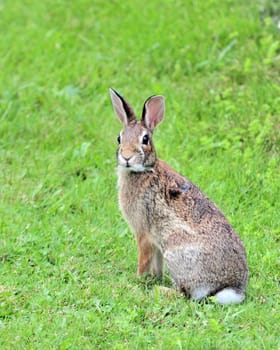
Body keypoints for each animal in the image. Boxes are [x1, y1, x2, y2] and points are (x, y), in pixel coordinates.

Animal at [108, 89, 248, 304]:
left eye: (145, 139)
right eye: (119, 138)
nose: (126, 157)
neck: (144, 171)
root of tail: (229, 288)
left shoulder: (143, 233)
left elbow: (143, 259)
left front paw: (137, 280)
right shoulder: (155, 242)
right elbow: (155, 264)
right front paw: (154, 278)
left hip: (175, 250)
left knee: (185, 294)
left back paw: (161, 291)